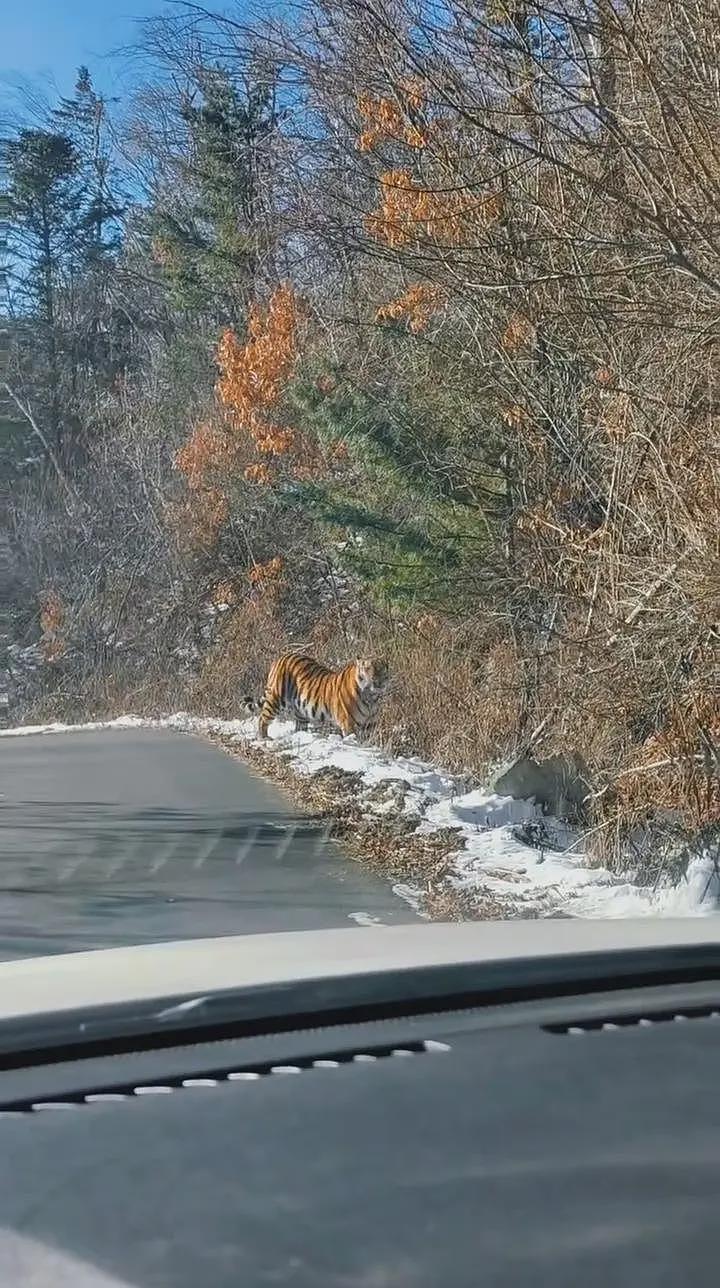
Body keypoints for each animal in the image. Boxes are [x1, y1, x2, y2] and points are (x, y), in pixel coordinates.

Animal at [244, 653, 389, 739]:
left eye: (381, 669)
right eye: (368, 669)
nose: (376, 680)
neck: (371, 697)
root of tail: (281, 657)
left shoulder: (370, 725)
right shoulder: (348, 724)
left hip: (300, 711)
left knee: (299, 725)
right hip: (276, 699)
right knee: (263, 718)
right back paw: (264, 738)